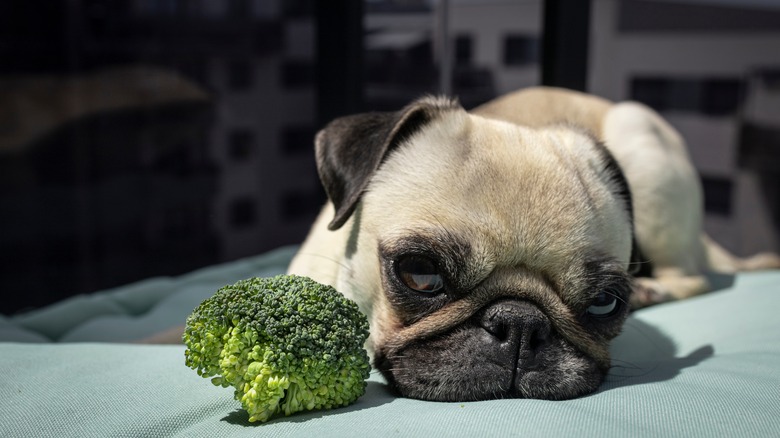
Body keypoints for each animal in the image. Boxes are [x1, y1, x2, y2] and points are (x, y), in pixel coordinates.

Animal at [288, 87, 780, 402]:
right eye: (420, 274)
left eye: (604, 303)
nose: (521, 324)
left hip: (643, 152)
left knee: (694, 277)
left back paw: (652, 289)